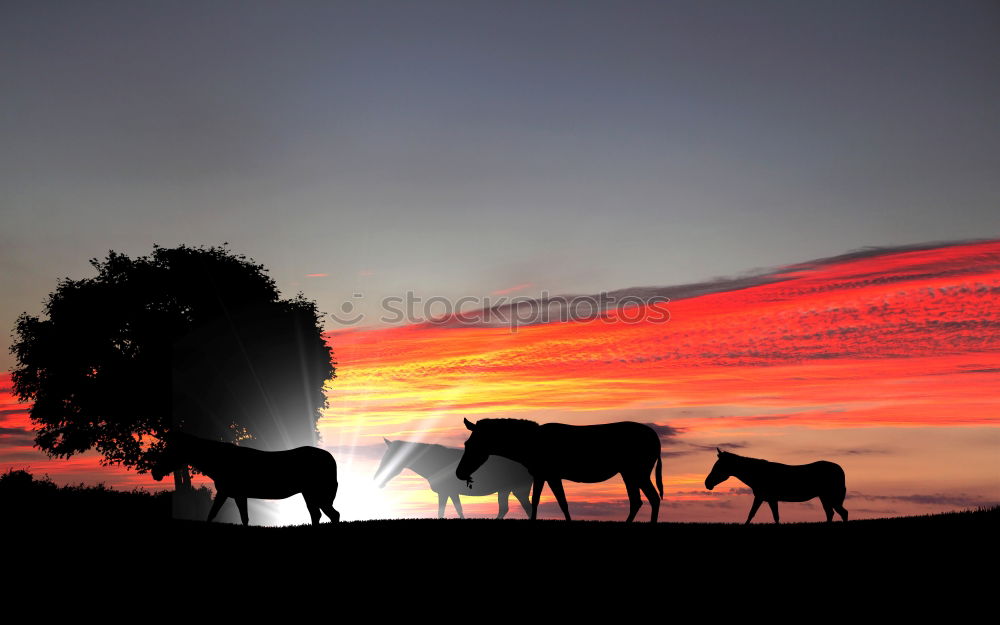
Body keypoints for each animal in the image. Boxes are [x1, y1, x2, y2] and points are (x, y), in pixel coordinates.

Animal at [151, 432, 340, 524]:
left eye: (170, 450)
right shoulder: (234, 495)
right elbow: (235, 517)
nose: (155, 472)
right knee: (318, 515)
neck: (219, 461)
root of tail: (331, 459)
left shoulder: (231, 494)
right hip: (309, 494)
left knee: (333, 515)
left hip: (316, 494)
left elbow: (217, 515)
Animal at [374, 436, 532, 520]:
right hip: (505, 490)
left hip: (520, 490)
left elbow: (444, 511)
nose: (377, 480)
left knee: (527, 508)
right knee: (505, 508)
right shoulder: (451, 492)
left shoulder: (445, 492)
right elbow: (457, 509)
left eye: (391, 458)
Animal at [456, 420, 664, 520]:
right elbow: (537, 502)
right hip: (629, 473)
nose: (459, 473)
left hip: (638, 472)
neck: (530, 443)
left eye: (471, 445)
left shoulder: (552, 475)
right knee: (638, 501)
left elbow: (560, 502)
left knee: (651, 498)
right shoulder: (542, 475)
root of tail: (656, 437)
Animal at [708, 448, 848, 520]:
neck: (757, 473)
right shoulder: (768, 499)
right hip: (824, 497)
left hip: (830, 497)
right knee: (831, 513)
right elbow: (761, 515)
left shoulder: (764, 498)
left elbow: (755, 515)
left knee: (842, 513)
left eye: (718, 466)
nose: (707, 483)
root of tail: (840, 470)